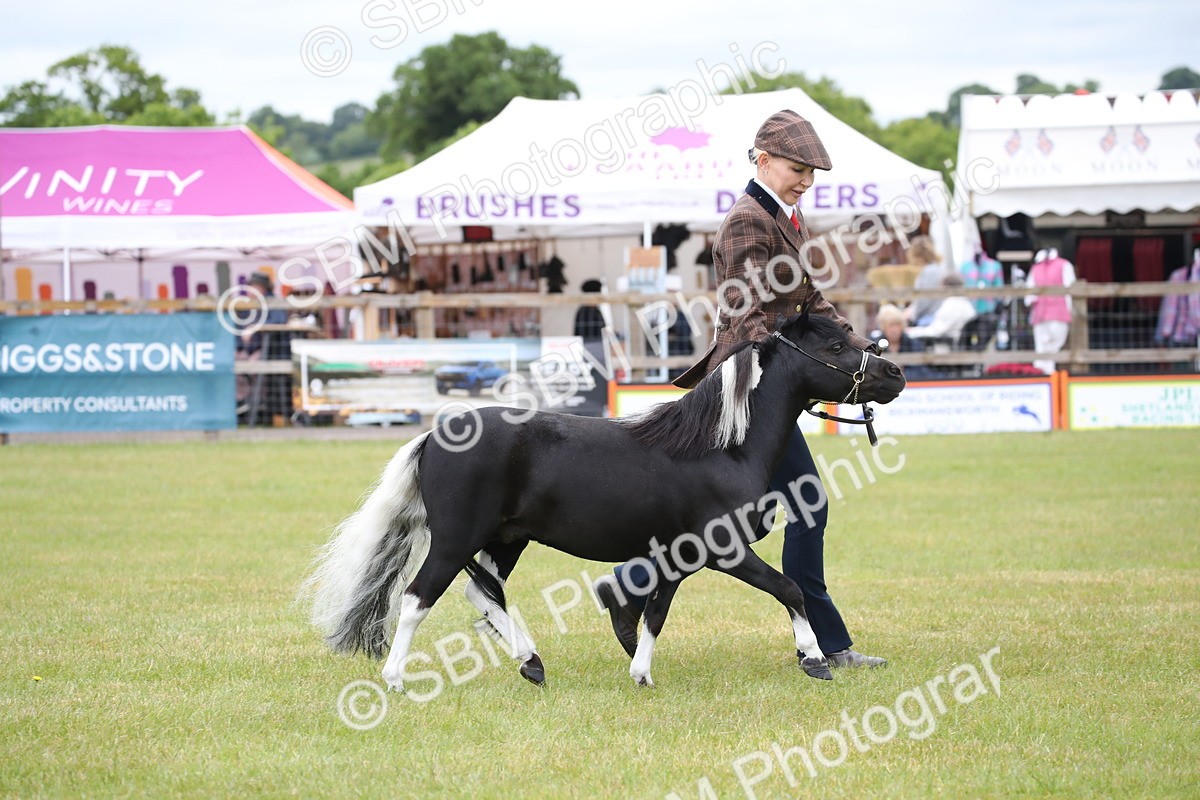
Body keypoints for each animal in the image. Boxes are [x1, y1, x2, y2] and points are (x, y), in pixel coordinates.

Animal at [301, 312, 906, 691]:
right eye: (834, 345)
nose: (896, 373)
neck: (722, 446)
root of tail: (434, 435)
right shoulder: (725, 552)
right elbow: (791, 590)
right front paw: (815, 660)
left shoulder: (677, 557)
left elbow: (655, 613)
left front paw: (640, 672)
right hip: (455, 541)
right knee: (418, 598)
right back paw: (396, 679)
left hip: (505, 540)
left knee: (483, 593)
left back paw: (532, 663)